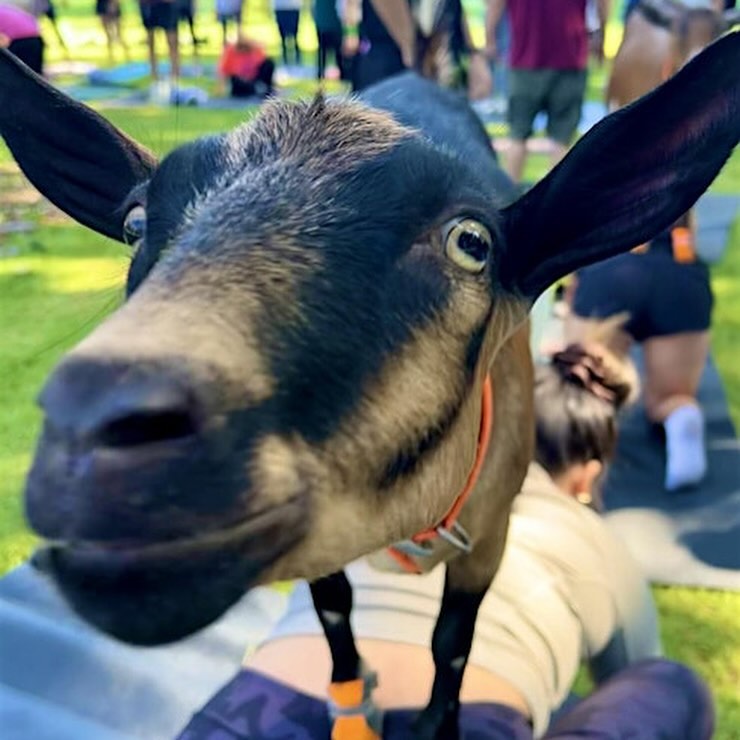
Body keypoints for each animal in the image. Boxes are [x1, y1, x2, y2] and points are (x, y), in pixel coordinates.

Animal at [2, 32, 739, 740]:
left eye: (472, 242)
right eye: (134, 224)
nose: (94, 428)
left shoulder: (490, 530)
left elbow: (452, 640)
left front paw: (437, 725)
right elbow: (334, 609)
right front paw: (354, 701)